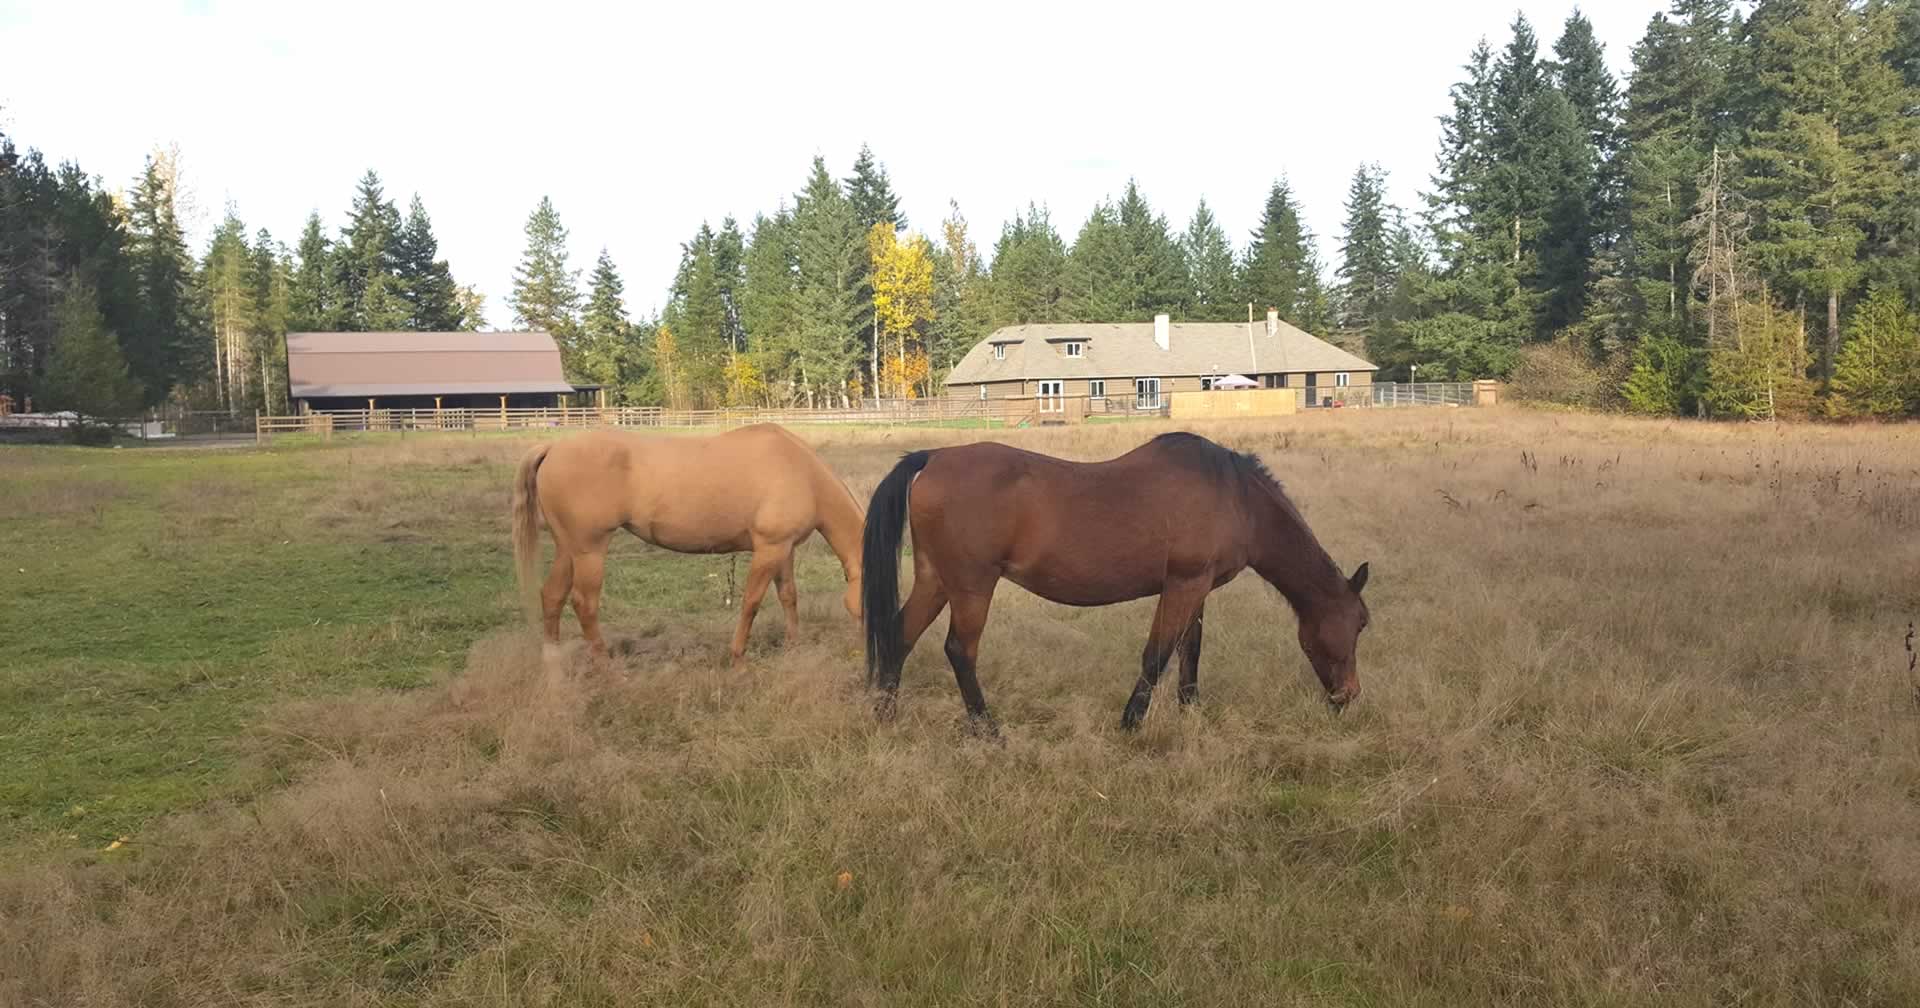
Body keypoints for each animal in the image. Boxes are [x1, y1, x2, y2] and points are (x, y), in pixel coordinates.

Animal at [511, 423, 865, 669]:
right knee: (584, 605)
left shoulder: (784, 549)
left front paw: (794, 647)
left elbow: (789, 596)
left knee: (552, 596)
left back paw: (553, 664)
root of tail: (553, 447)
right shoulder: (769, 549)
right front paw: (738, 658)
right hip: (589, 552)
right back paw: (606, 668)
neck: (802, 473)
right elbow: (751, 603)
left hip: (567, 550)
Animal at [861, 431, 1370, 732]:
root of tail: (932, 458)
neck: (1235, 496)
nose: (1349, 698)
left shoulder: (1198, 589)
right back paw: (988, 730)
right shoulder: (1183, 585)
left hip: (936, 580)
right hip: (972, 587)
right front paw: (1131, 723)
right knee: (959, 651)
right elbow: (1157, 655)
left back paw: (886, 715)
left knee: (899, 635)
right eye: (1360, 624)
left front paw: (1190, 711)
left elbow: (1190, 652)